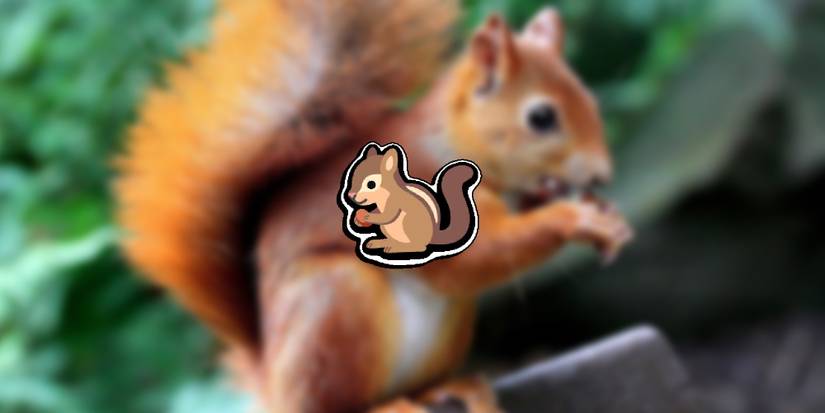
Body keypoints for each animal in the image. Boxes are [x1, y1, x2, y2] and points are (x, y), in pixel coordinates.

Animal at [343, 142, 480, 259]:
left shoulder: (395, 202)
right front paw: (358, 221)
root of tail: (431, 237)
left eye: (371, 184)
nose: (350, 195)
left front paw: (366, 216)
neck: (385, 196)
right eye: (354, 174)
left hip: (409, 224)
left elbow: (387, 216)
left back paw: (395, 248)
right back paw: (381, 243)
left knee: (419, 247)